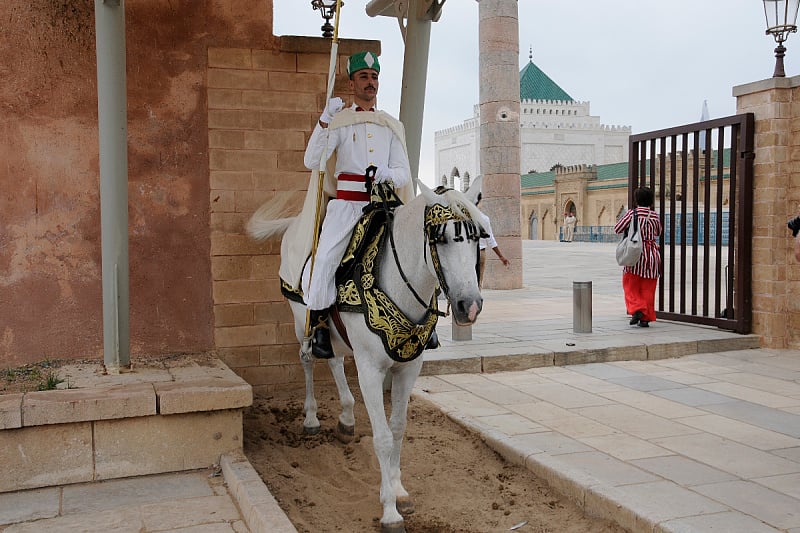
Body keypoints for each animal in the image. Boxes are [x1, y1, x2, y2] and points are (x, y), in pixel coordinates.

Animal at [247, 181, 484, 528]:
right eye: (440, 239)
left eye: (476, 238)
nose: (471, 306)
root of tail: (294, 227)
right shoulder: (371, 370)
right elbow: (382, 436)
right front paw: (389, 511)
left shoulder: (408, 367)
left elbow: (398, 428)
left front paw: (399, 491)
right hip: (300, 320)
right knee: (308, 359)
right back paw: (311, 418)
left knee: (333, 359)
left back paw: (346, 417)